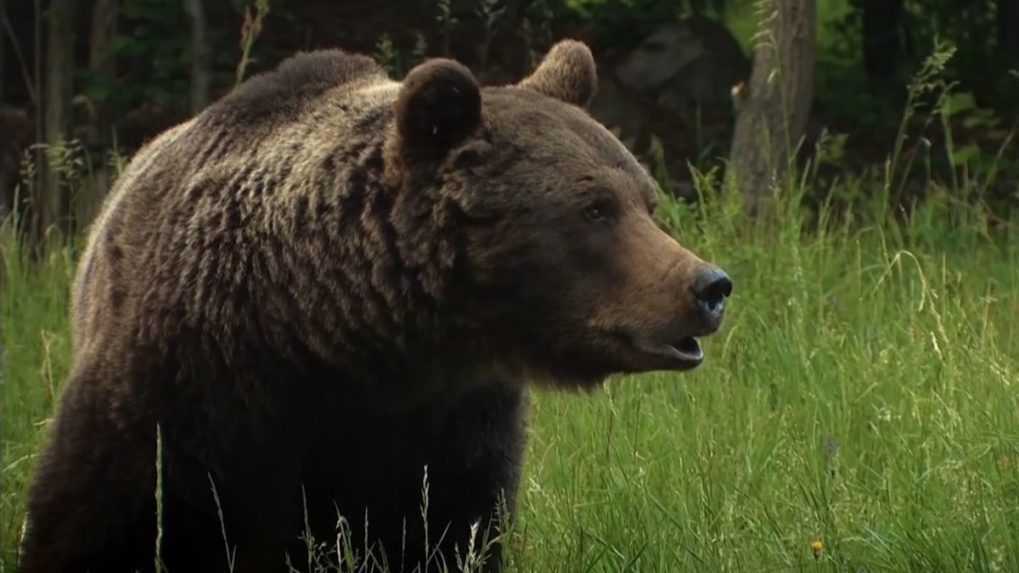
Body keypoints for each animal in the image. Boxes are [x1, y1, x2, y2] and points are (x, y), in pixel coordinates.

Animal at [17, 40, 733, 570]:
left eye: (646, 201)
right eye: (594, 208)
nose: (709, 285)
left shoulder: (449, 422)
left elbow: (446, 531)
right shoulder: (186, 382)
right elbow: (103, 515)